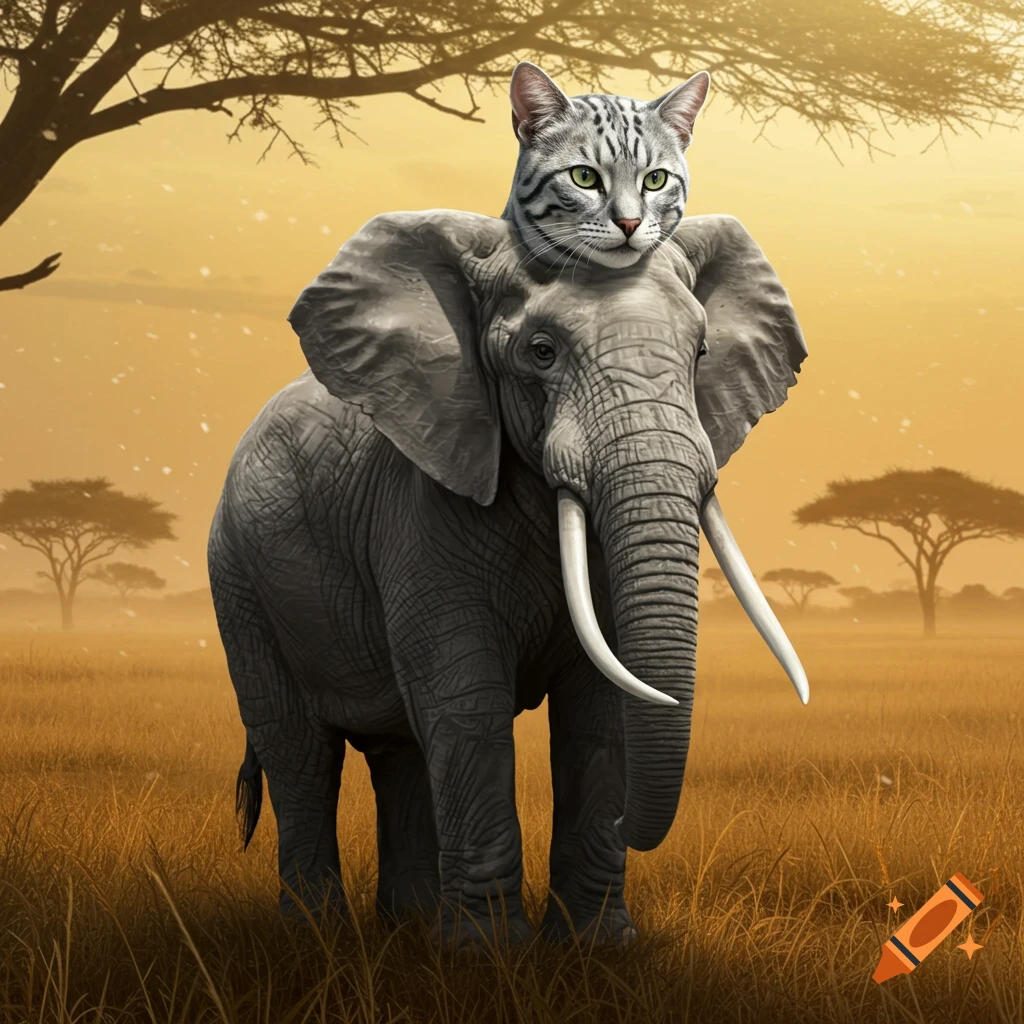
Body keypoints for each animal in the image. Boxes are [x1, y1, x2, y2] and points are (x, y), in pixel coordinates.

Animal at [207, 207, 809, 945]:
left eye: (700, 354)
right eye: (541, 352)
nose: (626, 823)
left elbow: (599, 709)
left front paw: (595, 947)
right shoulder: (422, 505)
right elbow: (466, 704)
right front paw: (488, 953)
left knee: (399, 749)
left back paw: (410, 924)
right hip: (239, 578)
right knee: (298, 751)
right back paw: (320, 935)